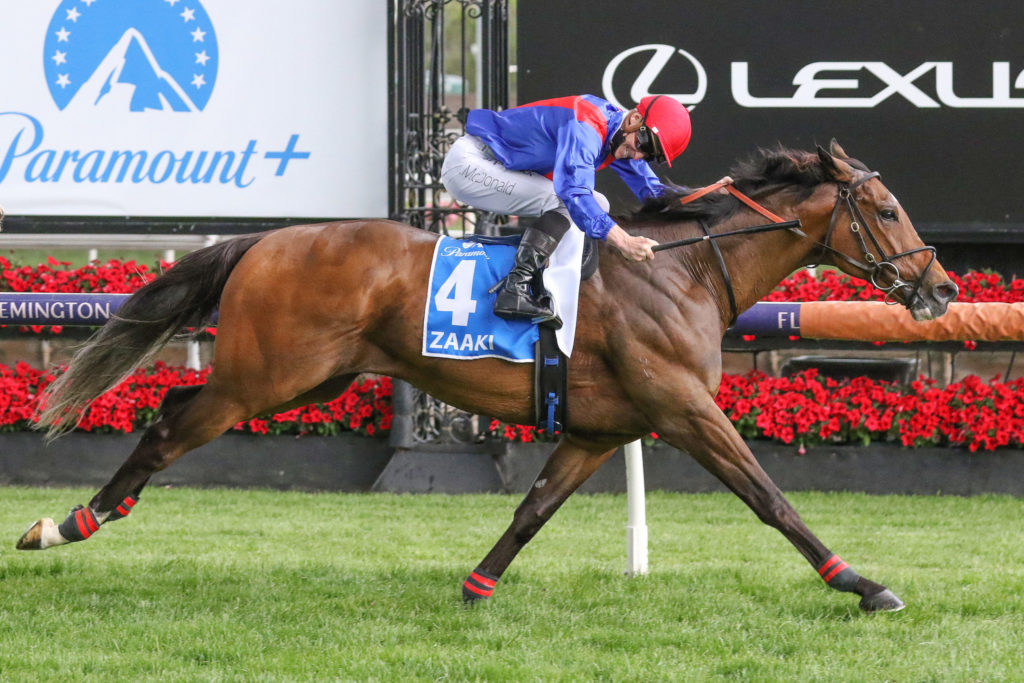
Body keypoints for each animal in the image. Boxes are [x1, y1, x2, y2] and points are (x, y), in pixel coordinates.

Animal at [17, 140, 958, 613]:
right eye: (884, 209)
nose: (943, 287)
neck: (682, 268)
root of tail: (267, 238)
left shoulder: (600, 427)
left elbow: (532, 508)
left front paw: (475, 587)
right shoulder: (683, 407)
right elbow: (770, 497)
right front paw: (862, 584)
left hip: (305, 378)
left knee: (174, 406)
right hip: (266, 377)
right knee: (169, 424)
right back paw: (68, 523)